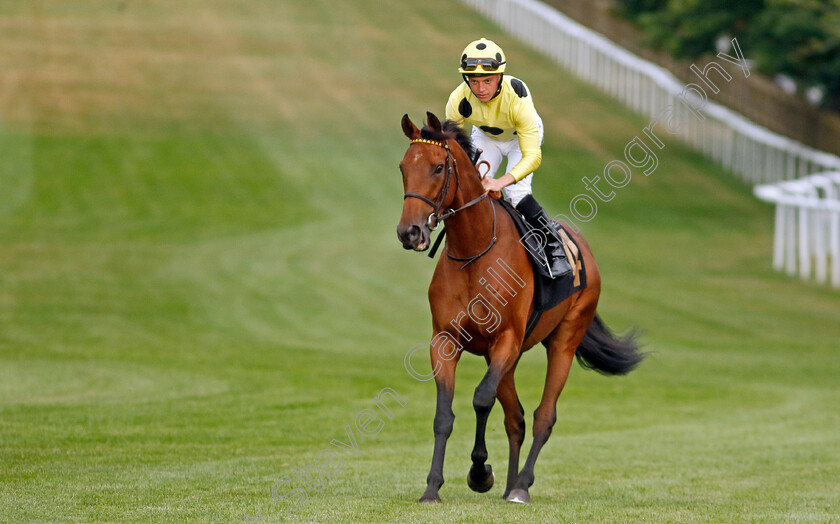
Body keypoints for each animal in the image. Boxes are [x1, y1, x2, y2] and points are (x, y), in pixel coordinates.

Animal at [396, 113, 644, 504]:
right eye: (403, 167)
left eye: (438, 167)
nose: (409, 232)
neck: (474, 252)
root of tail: (584, 249)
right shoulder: (446, 341)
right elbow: (443, 415)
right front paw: (433, 487)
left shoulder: (507, 340)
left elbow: (481, 399)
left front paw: (479, 472)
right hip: (504, 360)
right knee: (517, 417)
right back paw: (511, 482)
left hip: (563, 341)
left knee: (544, 415)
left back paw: (521, 486)